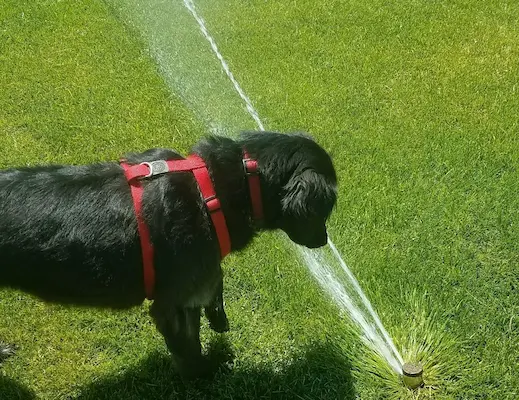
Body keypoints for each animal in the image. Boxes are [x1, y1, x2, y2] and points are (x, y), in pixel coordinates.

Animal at [0, 131, 338, 378]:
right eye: (328, 206)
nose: (324, 241)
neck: (214, 191)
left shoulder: (190, 295)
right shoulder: (171, 306)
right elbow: (189, 351)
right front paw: (205, 376)